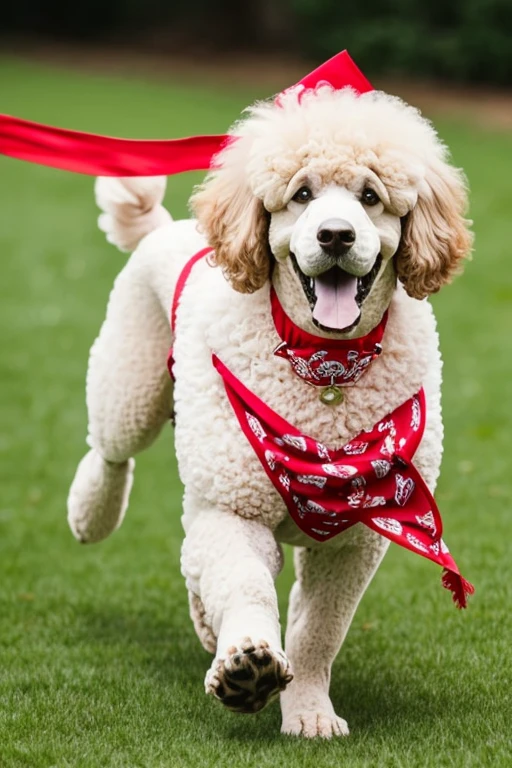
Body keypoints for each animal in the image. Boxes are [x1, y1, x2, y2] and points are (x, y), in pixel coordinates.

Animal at [66, 85, 474, 736]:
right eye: (301, 194)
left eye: (370, 197)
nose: (336, 236)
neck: (325, 368)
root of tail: (167, 228)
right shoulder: (235, 509)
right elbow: (245, 587)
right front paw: (246, 667)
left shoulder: (355, 538)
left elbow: (318, 631)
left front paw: (308, 711)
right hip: (129, 388)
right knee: (110, 453)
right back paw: (92, 514)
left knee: (190, 551)